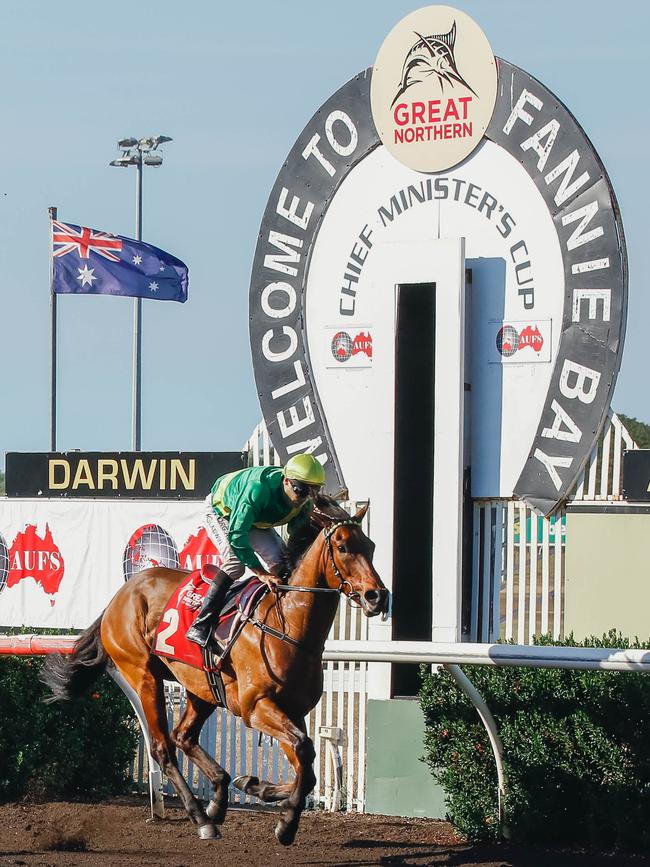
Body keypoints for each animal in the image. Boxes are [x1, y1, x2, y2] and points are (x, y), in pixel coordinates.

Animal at [41, 498, 384, 844]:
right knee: (163, 748)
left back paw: (218, 796)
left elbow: (307, 767)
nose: (377, 596)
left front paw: (256, 786)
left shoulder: (293, 710)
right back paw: (202, 818)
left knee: (183, 736)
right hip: (143, 675)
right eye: (342, 547)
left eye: (370, 546)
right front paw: (286, 823)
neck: (287, 624)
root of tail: (119, 596)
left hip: (200, 687)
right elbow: (303, 749)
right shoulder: (256, 707)